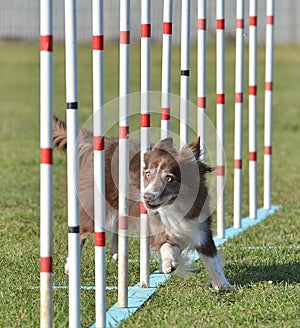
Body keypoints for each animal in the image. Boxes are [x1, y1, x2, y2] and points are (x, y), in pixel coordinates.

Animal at [52, 116, 233, 290]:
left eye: (169, 178)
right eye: (147, 174)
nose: (146, 197)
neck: (174, 205)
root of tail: (107, 142)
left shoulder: (199, 227)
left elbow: (212, 259)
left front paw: (223, 284)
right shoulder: (158, 226)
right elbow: (166, 245)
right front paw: (169, 263)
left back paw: (117, 254)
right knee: (81, 232)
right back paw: (71, 265)